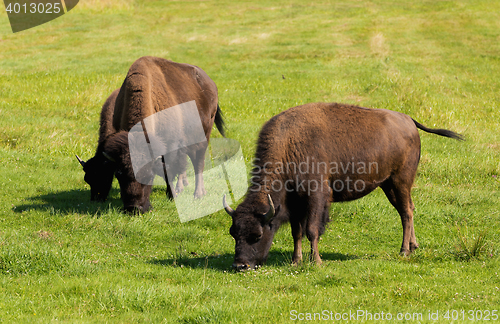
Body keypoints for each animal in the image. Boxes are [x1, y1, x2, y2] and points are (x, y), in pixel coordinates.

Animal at [76, 55, 225, 213]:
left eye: (150, 176)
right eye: (118, 175)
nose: (134, 208)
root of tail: (210, 83)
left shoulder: (170, 146)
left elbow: (169, 170)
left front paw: (172, 195)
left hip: (204, 135)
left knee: (199, 162)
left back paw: (198, 194)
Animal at [225, 102, 462, 270]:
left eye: (257, 235)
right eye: (233, 233)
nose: (240, 265)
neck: (290, 145)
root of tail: (409, 120)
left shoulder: (317, 197)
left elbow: (312, 230)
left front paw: (316, 261)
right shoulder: (294, 204)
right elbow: (297, 232)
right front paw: (296, 260)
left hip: (400, 181)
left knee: (406, 213)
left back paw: (404, 251)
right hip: (388, 185)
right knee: (409, 209)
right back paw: (413, 246)